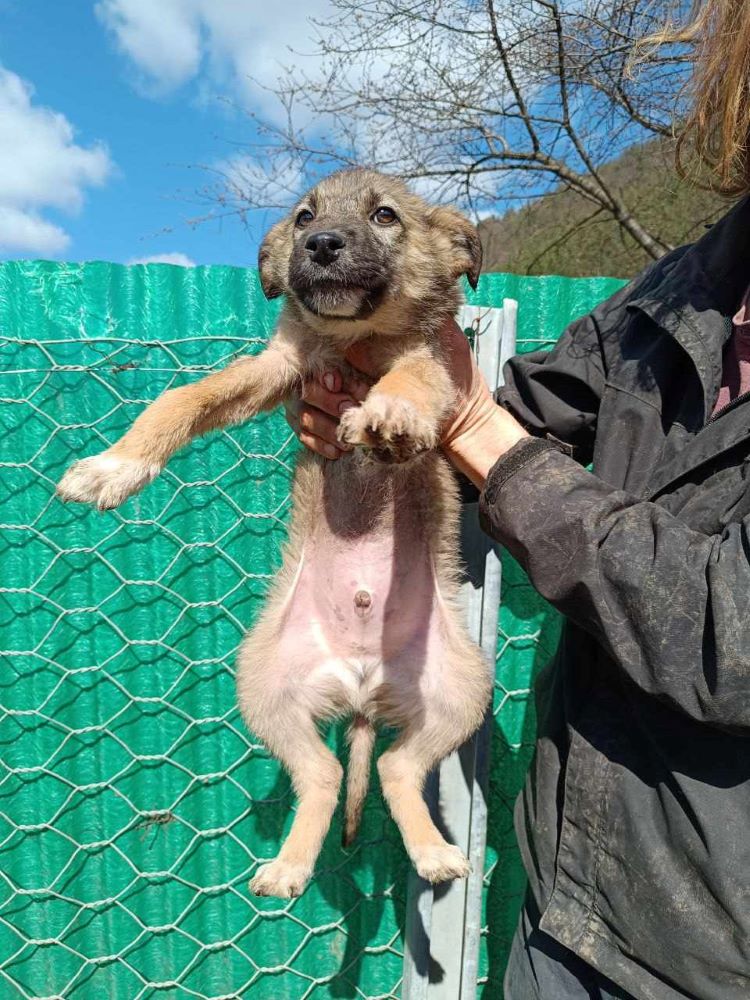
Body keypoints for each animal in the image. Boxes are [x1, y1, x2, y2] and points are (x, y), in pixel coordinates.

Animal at [57, 170, 494, 900]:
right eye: (303, 217)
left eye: (385, 215)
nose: (319, 246)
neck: (355, 335)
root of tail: (361, 684)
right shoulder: (279, 368)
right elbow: (181, 400)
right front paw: (115, 468)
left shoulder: (436, 359)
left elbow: (410, 378)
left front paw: (388, 413)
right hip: (265, 689)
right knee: (326, 774)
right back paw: (290, 866)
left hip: (462, 691)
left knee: (394, 768)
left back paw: (432, 853)